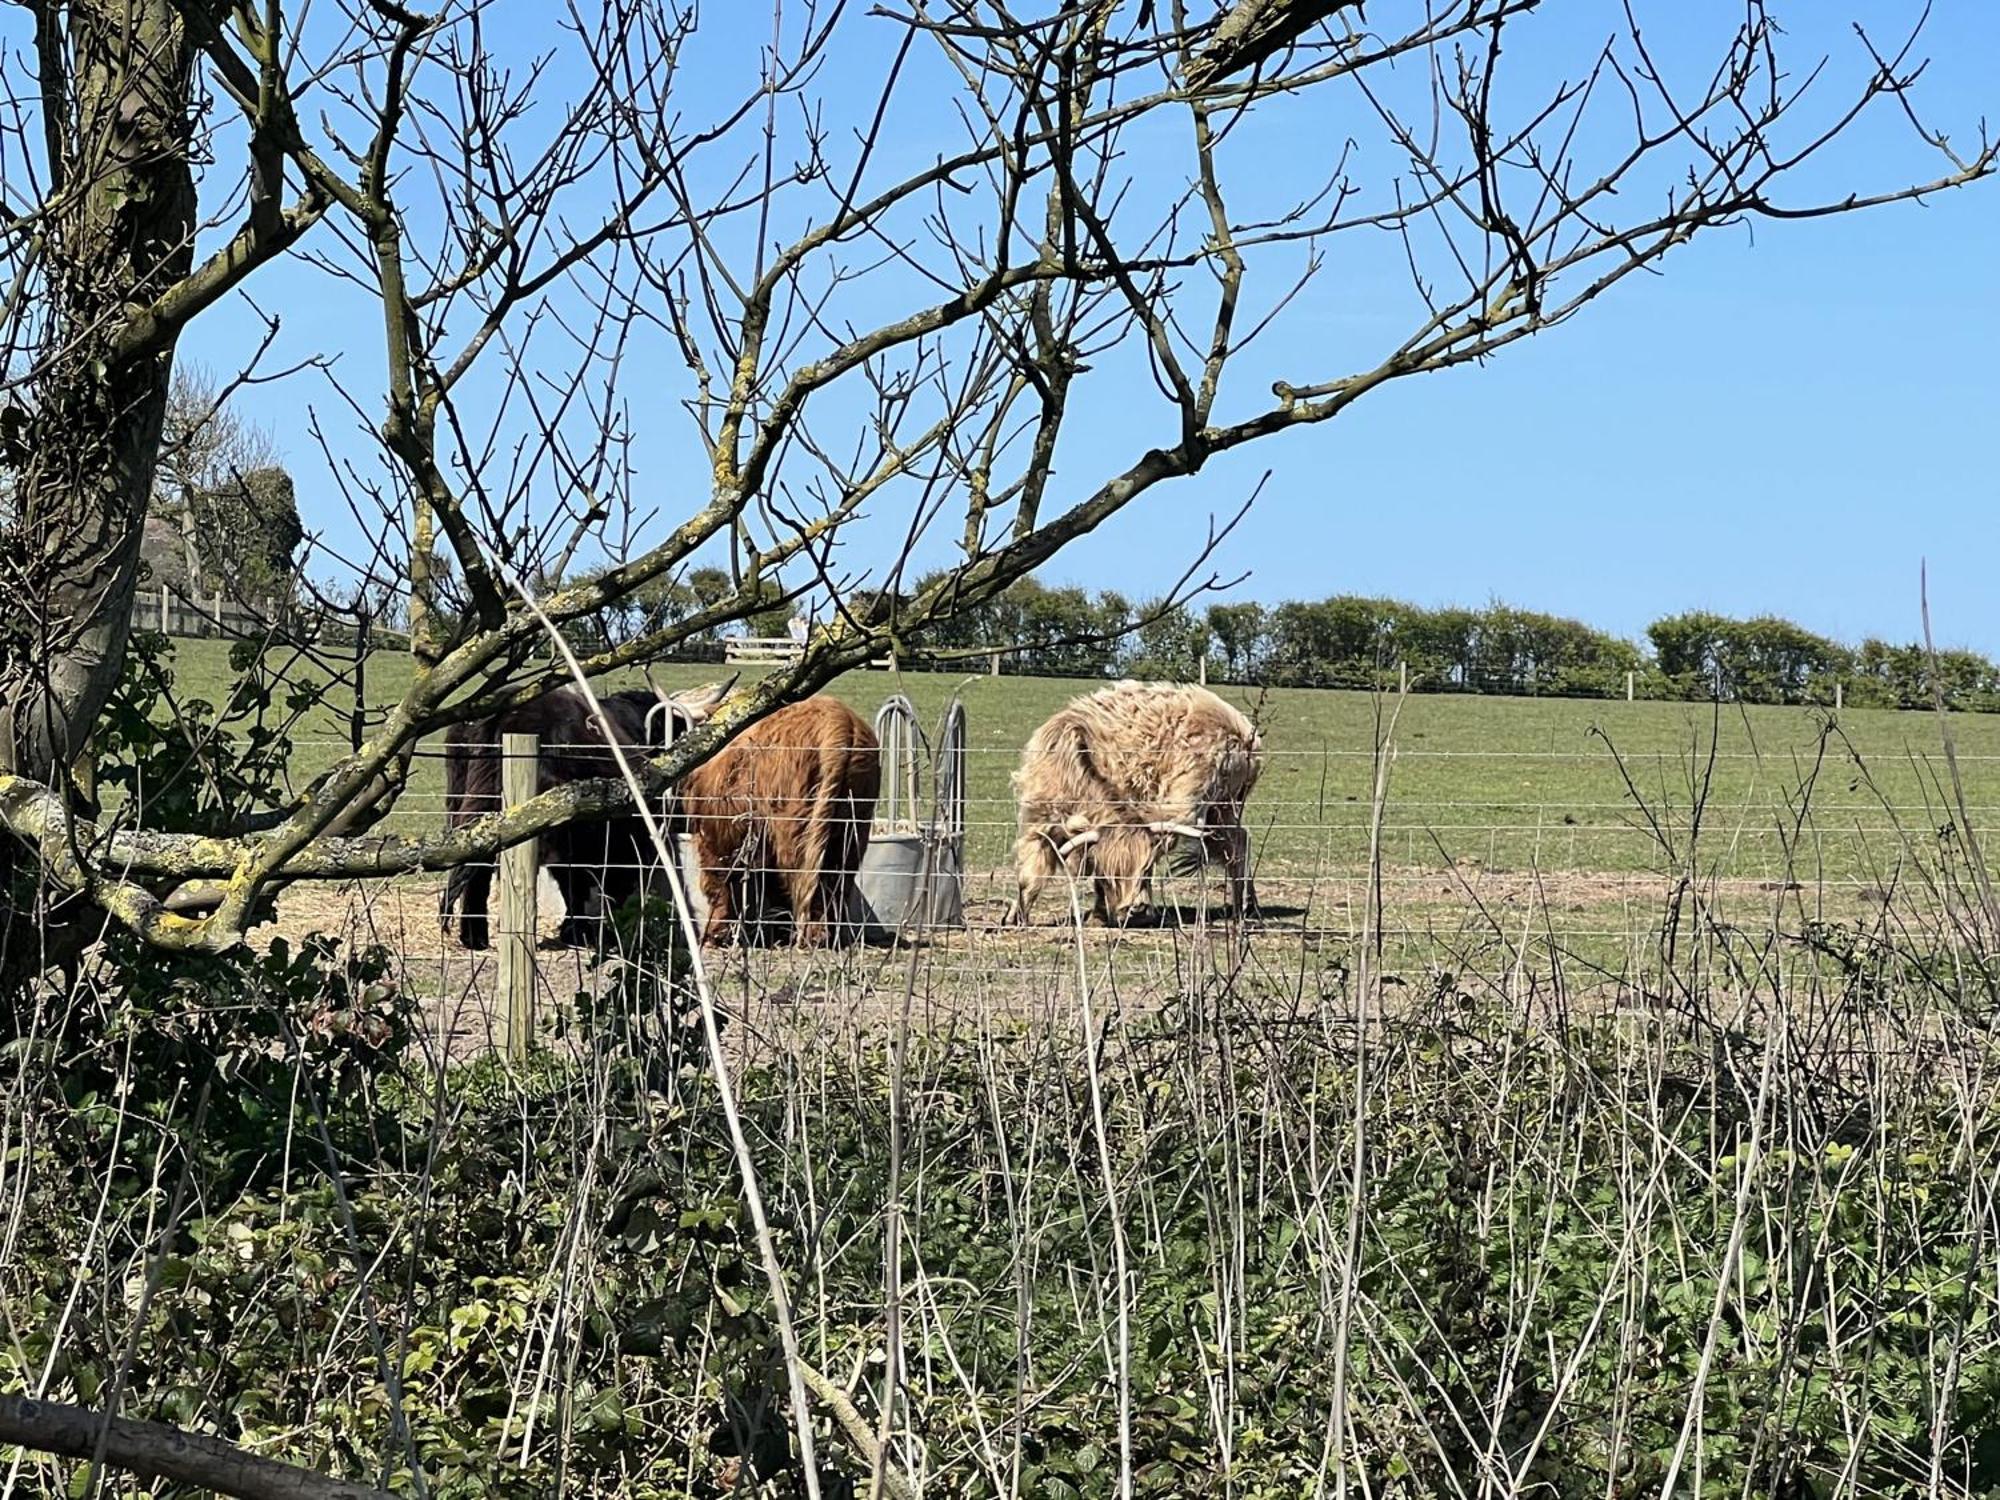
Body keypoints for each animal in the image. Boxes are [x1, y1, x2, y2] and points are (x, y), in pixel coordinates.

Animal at [1000, 684, 1264, 928]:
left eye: (1145, 869)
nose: (1136, 910)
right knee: (1238, 843)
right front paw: (1017, 917)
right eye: (1108, 875)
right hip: (1223, 809)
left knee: (1235, 845)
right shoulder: (1040, 820)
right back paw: (1245, 909)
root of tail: (1239, 731)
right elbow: (1031, 874)